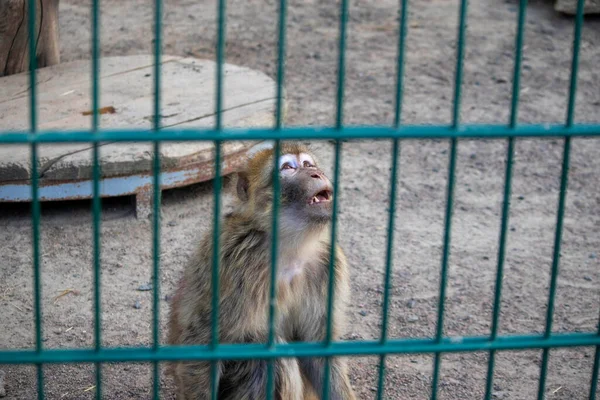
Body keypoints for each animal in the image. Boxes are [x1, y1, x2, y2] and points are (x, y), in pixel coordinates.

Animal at [166, 141, 356, 400]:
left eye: (308, 164)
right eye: (288, 168)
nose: (317, 173)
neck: (289, 247)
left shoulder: (328, 265)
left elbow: (317, 348)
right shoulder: (238, 264)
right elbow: (201, 340)